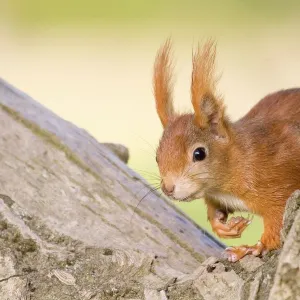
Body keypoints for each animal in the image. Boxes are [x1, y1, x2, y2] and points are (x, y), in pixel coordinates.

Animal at [152, 38, 300, 262]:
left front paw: (252, 248)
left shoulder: (280, 185)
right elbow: (215, 211)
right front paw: (223, 227)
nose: (168, 188)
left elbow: (275, 225)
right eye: (157, 157)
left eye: (199, 154)